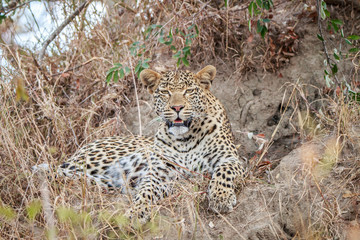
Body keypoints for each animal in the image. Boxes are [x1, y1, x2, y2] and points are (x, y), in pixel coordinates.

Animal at [35, 65, 246, 223]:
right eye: (165, 92)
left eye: (189, 91)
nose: (177, 107)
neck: (185, 139)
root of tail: (83, 147)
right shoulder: (160, 172)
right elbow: (146, 192)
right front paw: (136, 212)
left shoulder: (232, 159)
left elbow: (223, 173)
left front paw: (221, 197)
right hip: (99, 160)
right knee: (56, 171)